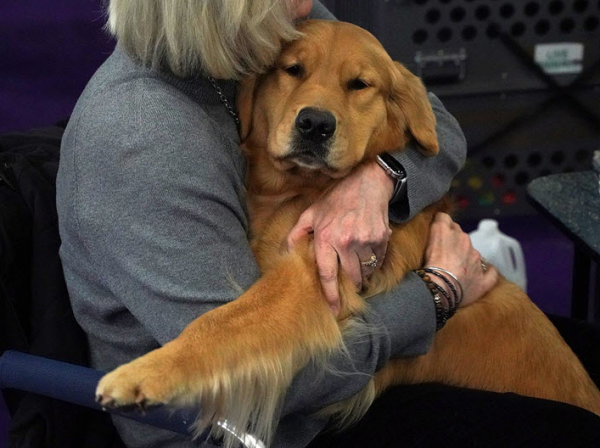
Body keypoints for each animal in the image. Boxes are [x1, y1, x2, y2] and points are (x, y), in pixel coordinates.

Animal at [95, 19, 600, 446]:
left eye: (359, 84)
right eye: (293, 70)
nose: (315, 124)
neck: (298, 189)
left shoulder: (308, 277)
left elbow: (220, 323)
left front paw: (144, 373)